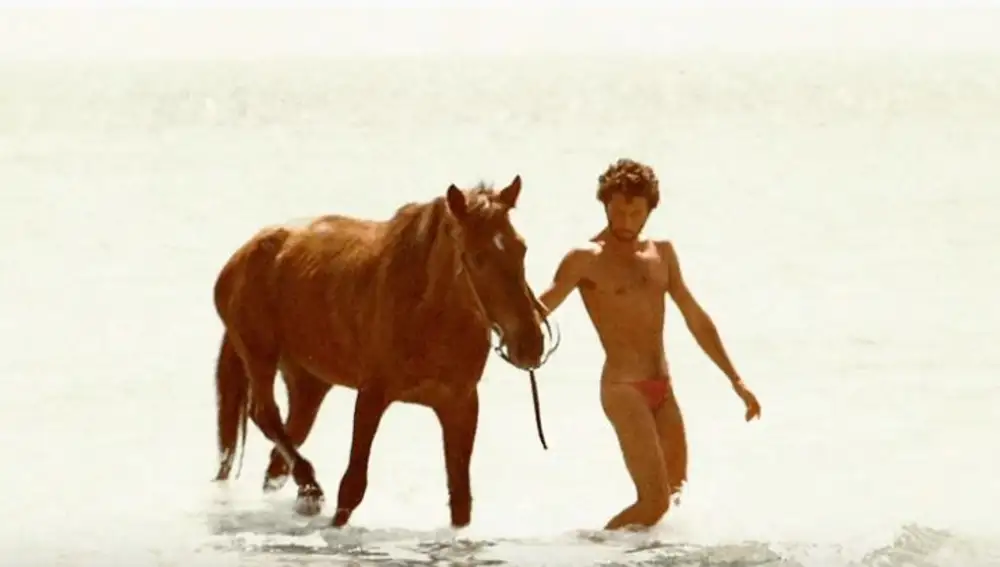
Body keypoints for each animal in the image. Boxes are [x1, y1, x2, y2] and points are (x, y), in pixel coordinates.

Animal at [211, 175, 557, 528]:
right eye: (476, 256)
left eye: (522, 248)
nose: (530, 343)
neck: (426, 313)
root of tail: (240, 257)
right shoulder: (372, 397)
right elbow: (351, 489)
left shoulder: (460, 404)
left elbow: (461, 500)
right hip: (259, 355)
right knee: (264, 414)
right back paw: (310, 490)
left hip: (308, 380)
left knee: (284, 442)